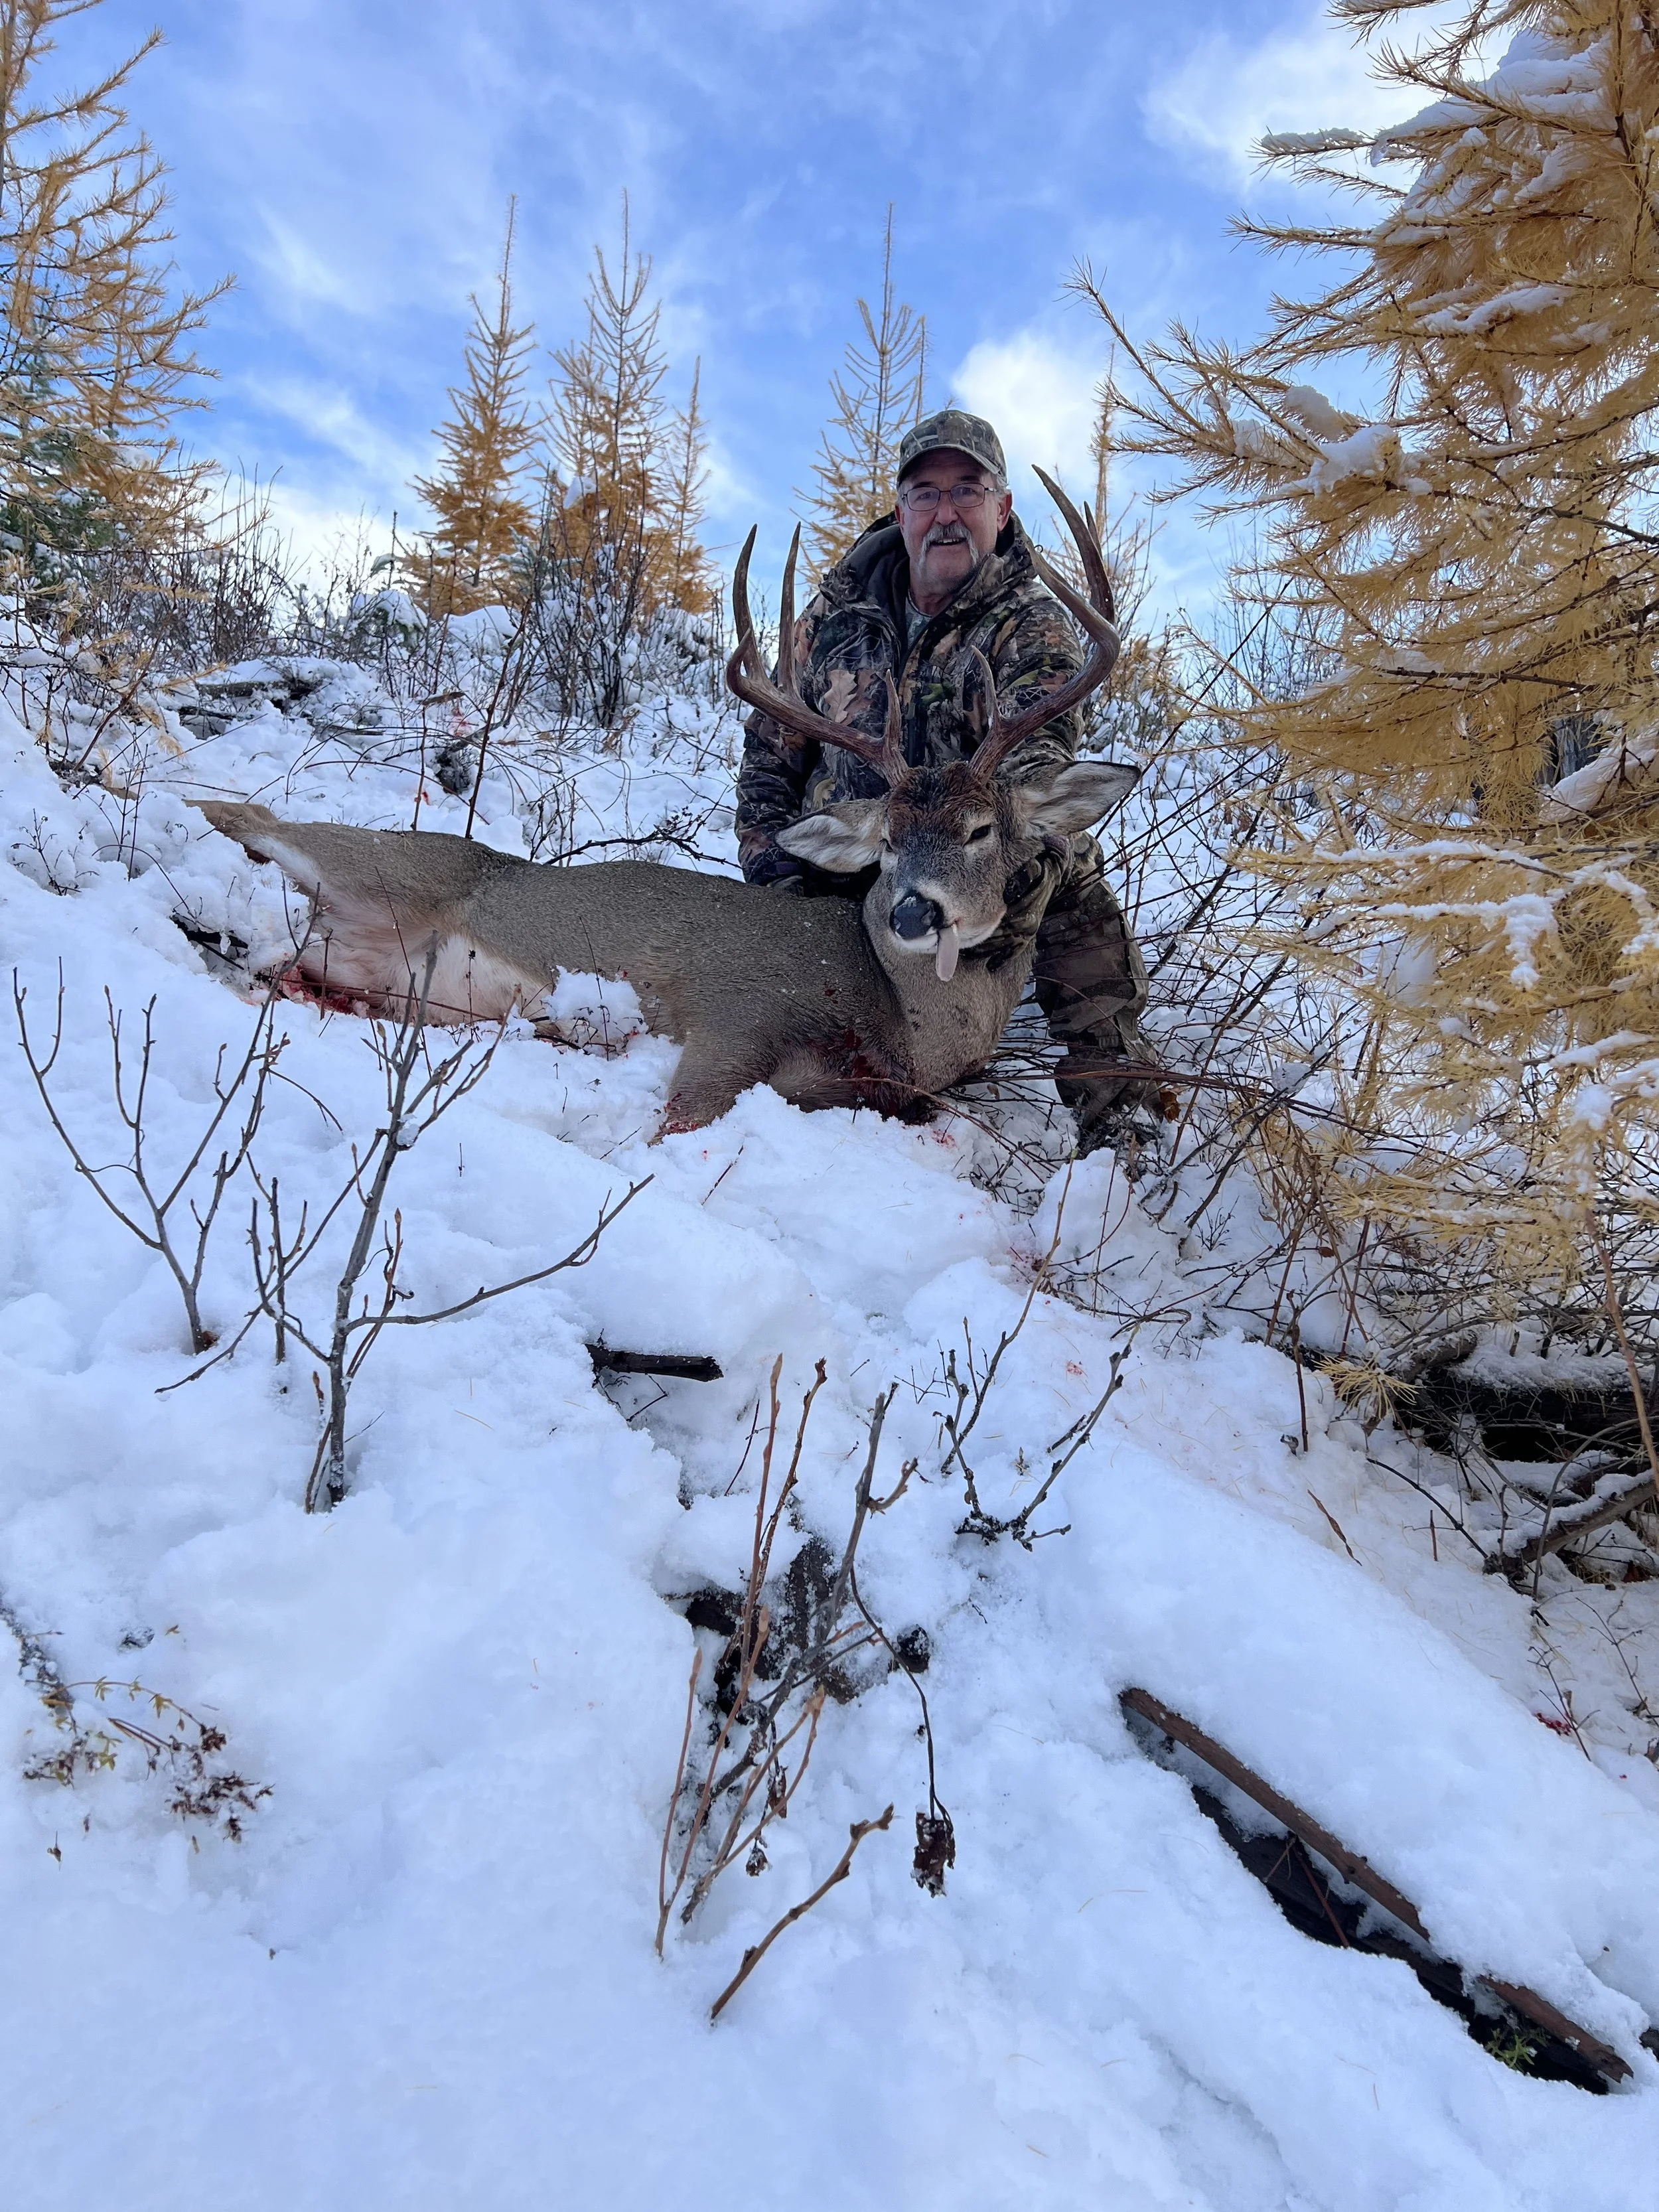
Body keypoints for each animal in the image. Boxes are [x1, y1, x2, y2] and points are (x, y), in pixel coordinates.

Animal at [195, 469, 1138, 1137]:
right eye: (887, 843)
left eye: (980, 829)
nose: (913, 912)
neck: (894, 1016)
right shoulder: (735, 1012)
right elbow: (674, 1122)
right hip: (392, 863)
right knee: (246, 817)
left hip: (372, 977)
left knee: (277, 963)